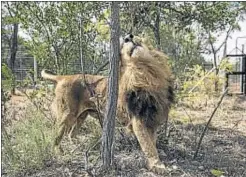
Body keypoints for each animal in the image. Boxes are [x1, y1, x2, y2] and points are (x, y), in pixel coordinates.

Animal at [41, 34, 174, 174]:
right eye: (122, 45)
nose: (128, 36)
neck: (146, 72)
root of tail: (63, 77)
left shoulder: (151, 118)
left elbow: (152, 142)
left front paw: (153, 163)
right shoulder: (138, 119)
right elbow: (148, 145)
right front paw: (157, 165)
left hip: (82, 115)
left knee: (71, 133)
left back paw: (80, 146)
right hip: (67, 114)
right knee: (56, 135)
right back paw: (59, 151)